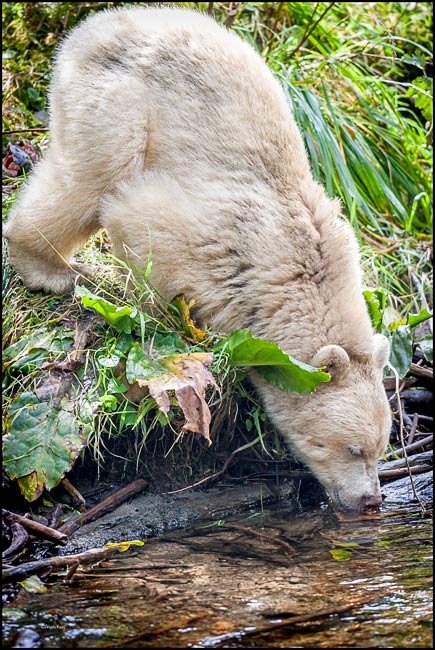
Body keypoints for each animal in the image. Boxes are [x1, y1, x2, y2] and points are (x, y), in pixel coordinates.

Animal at [3, 6, 392, 511]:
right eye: (353, 448)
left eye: (383, 446)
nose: (371, 501)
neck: (299, 272)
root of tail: (94, 25)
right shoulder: (221, 237)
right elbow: (138, 218)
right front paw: (163, 314)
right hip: (117, 98)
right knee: (94, 173)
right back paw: (50, 267)